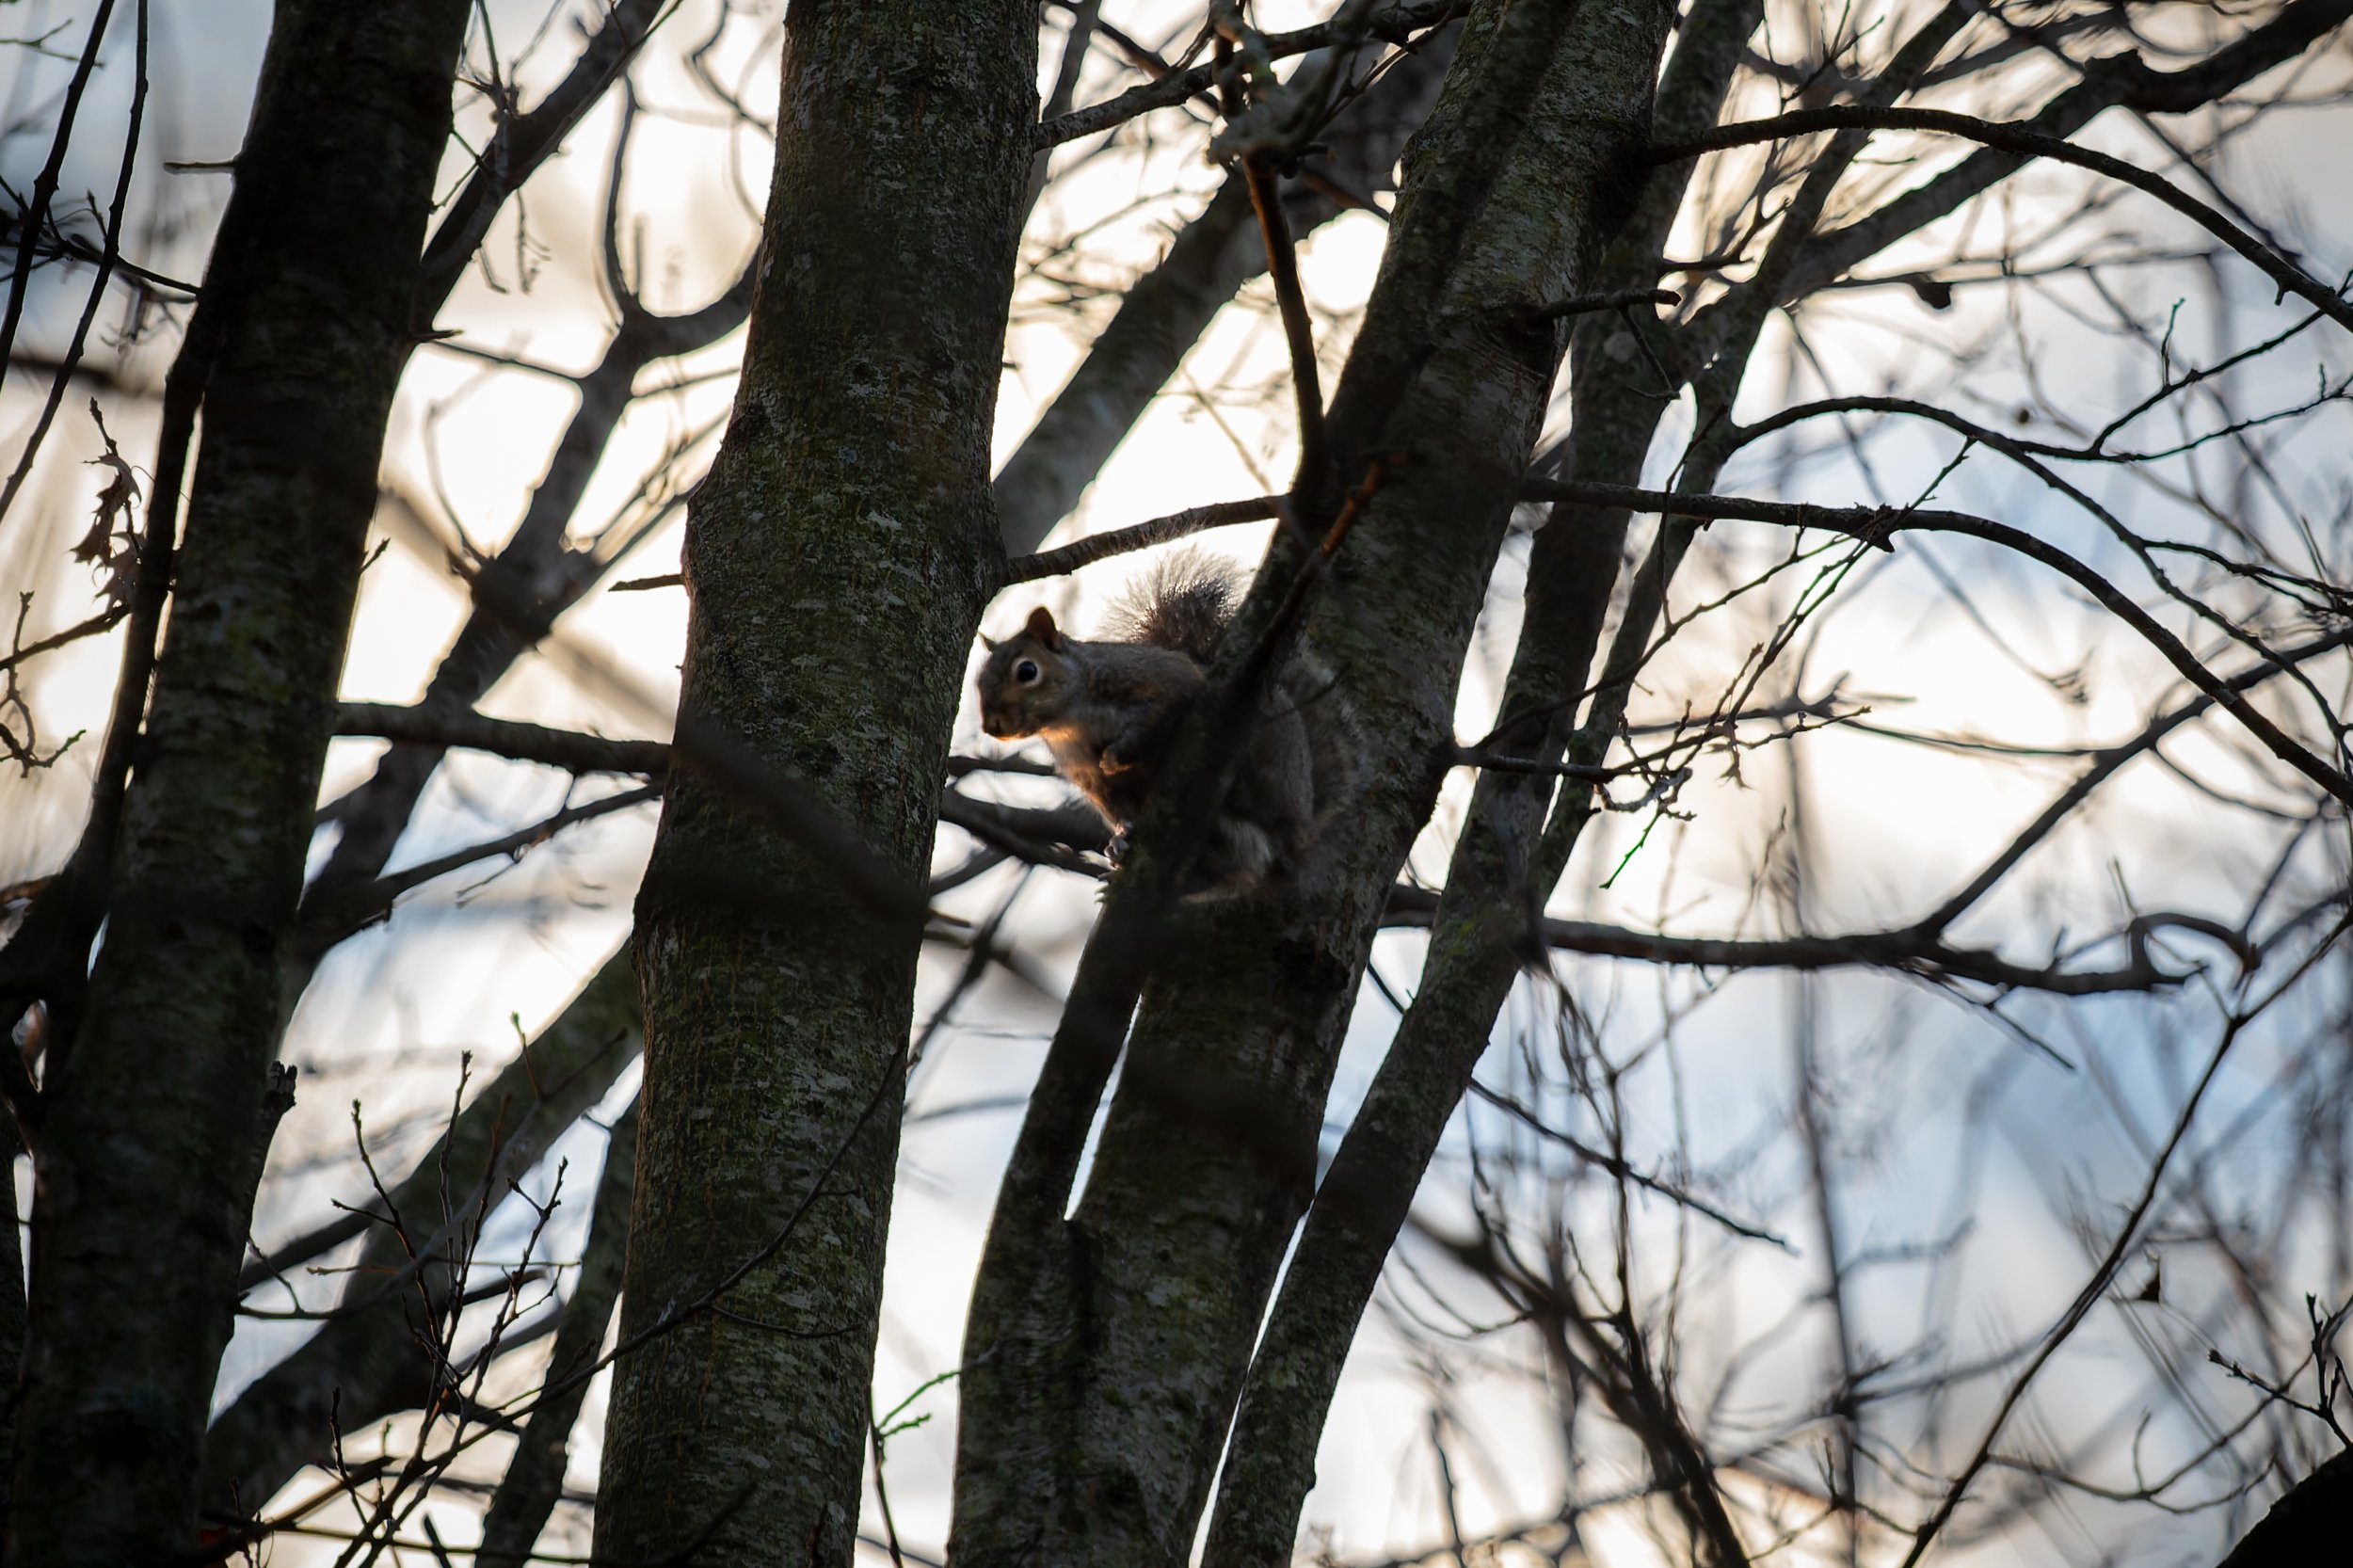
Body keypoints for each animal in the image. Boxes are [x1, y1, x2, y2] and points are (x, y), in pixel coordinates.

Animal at [974, 551, 1343, 886]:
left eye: (1027, 671)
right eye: (978, 681)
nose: (992, 726)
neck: (1072, 722)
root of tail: (1302, 825)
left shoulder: (1163, 681)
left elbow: (1157, 718)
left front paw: (1117, 755)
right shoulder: (1088, 774)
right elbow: (1116, 806)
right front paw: (1120, 839)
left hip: (1267, 755)